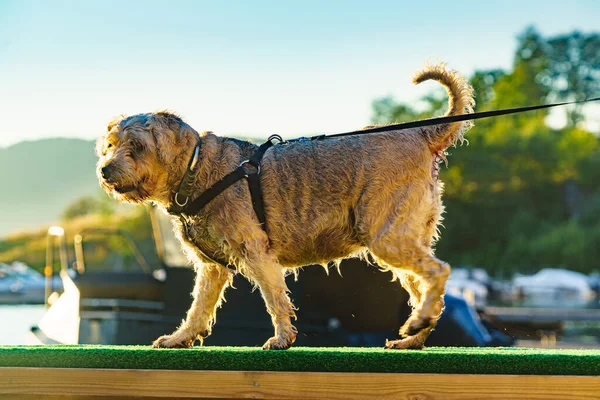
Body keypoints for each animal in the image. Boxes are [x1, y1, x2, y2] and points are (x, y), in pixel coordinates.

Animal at [96, 63, 476, 350]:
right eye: (111, 144)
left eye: (137, 146)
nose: (104, 170)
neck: (196, 167)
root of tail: (422, 135)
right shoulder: (211, 267)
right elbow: (198, 307)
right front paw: (181, 338)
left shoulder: (256, 253)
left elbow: (275, 299)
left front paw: (281, 338)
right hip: (402, 240)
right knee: (429, 287)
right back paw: (413, 336)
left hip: (387, 237)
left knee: (440, 272)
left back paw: (418, 322)